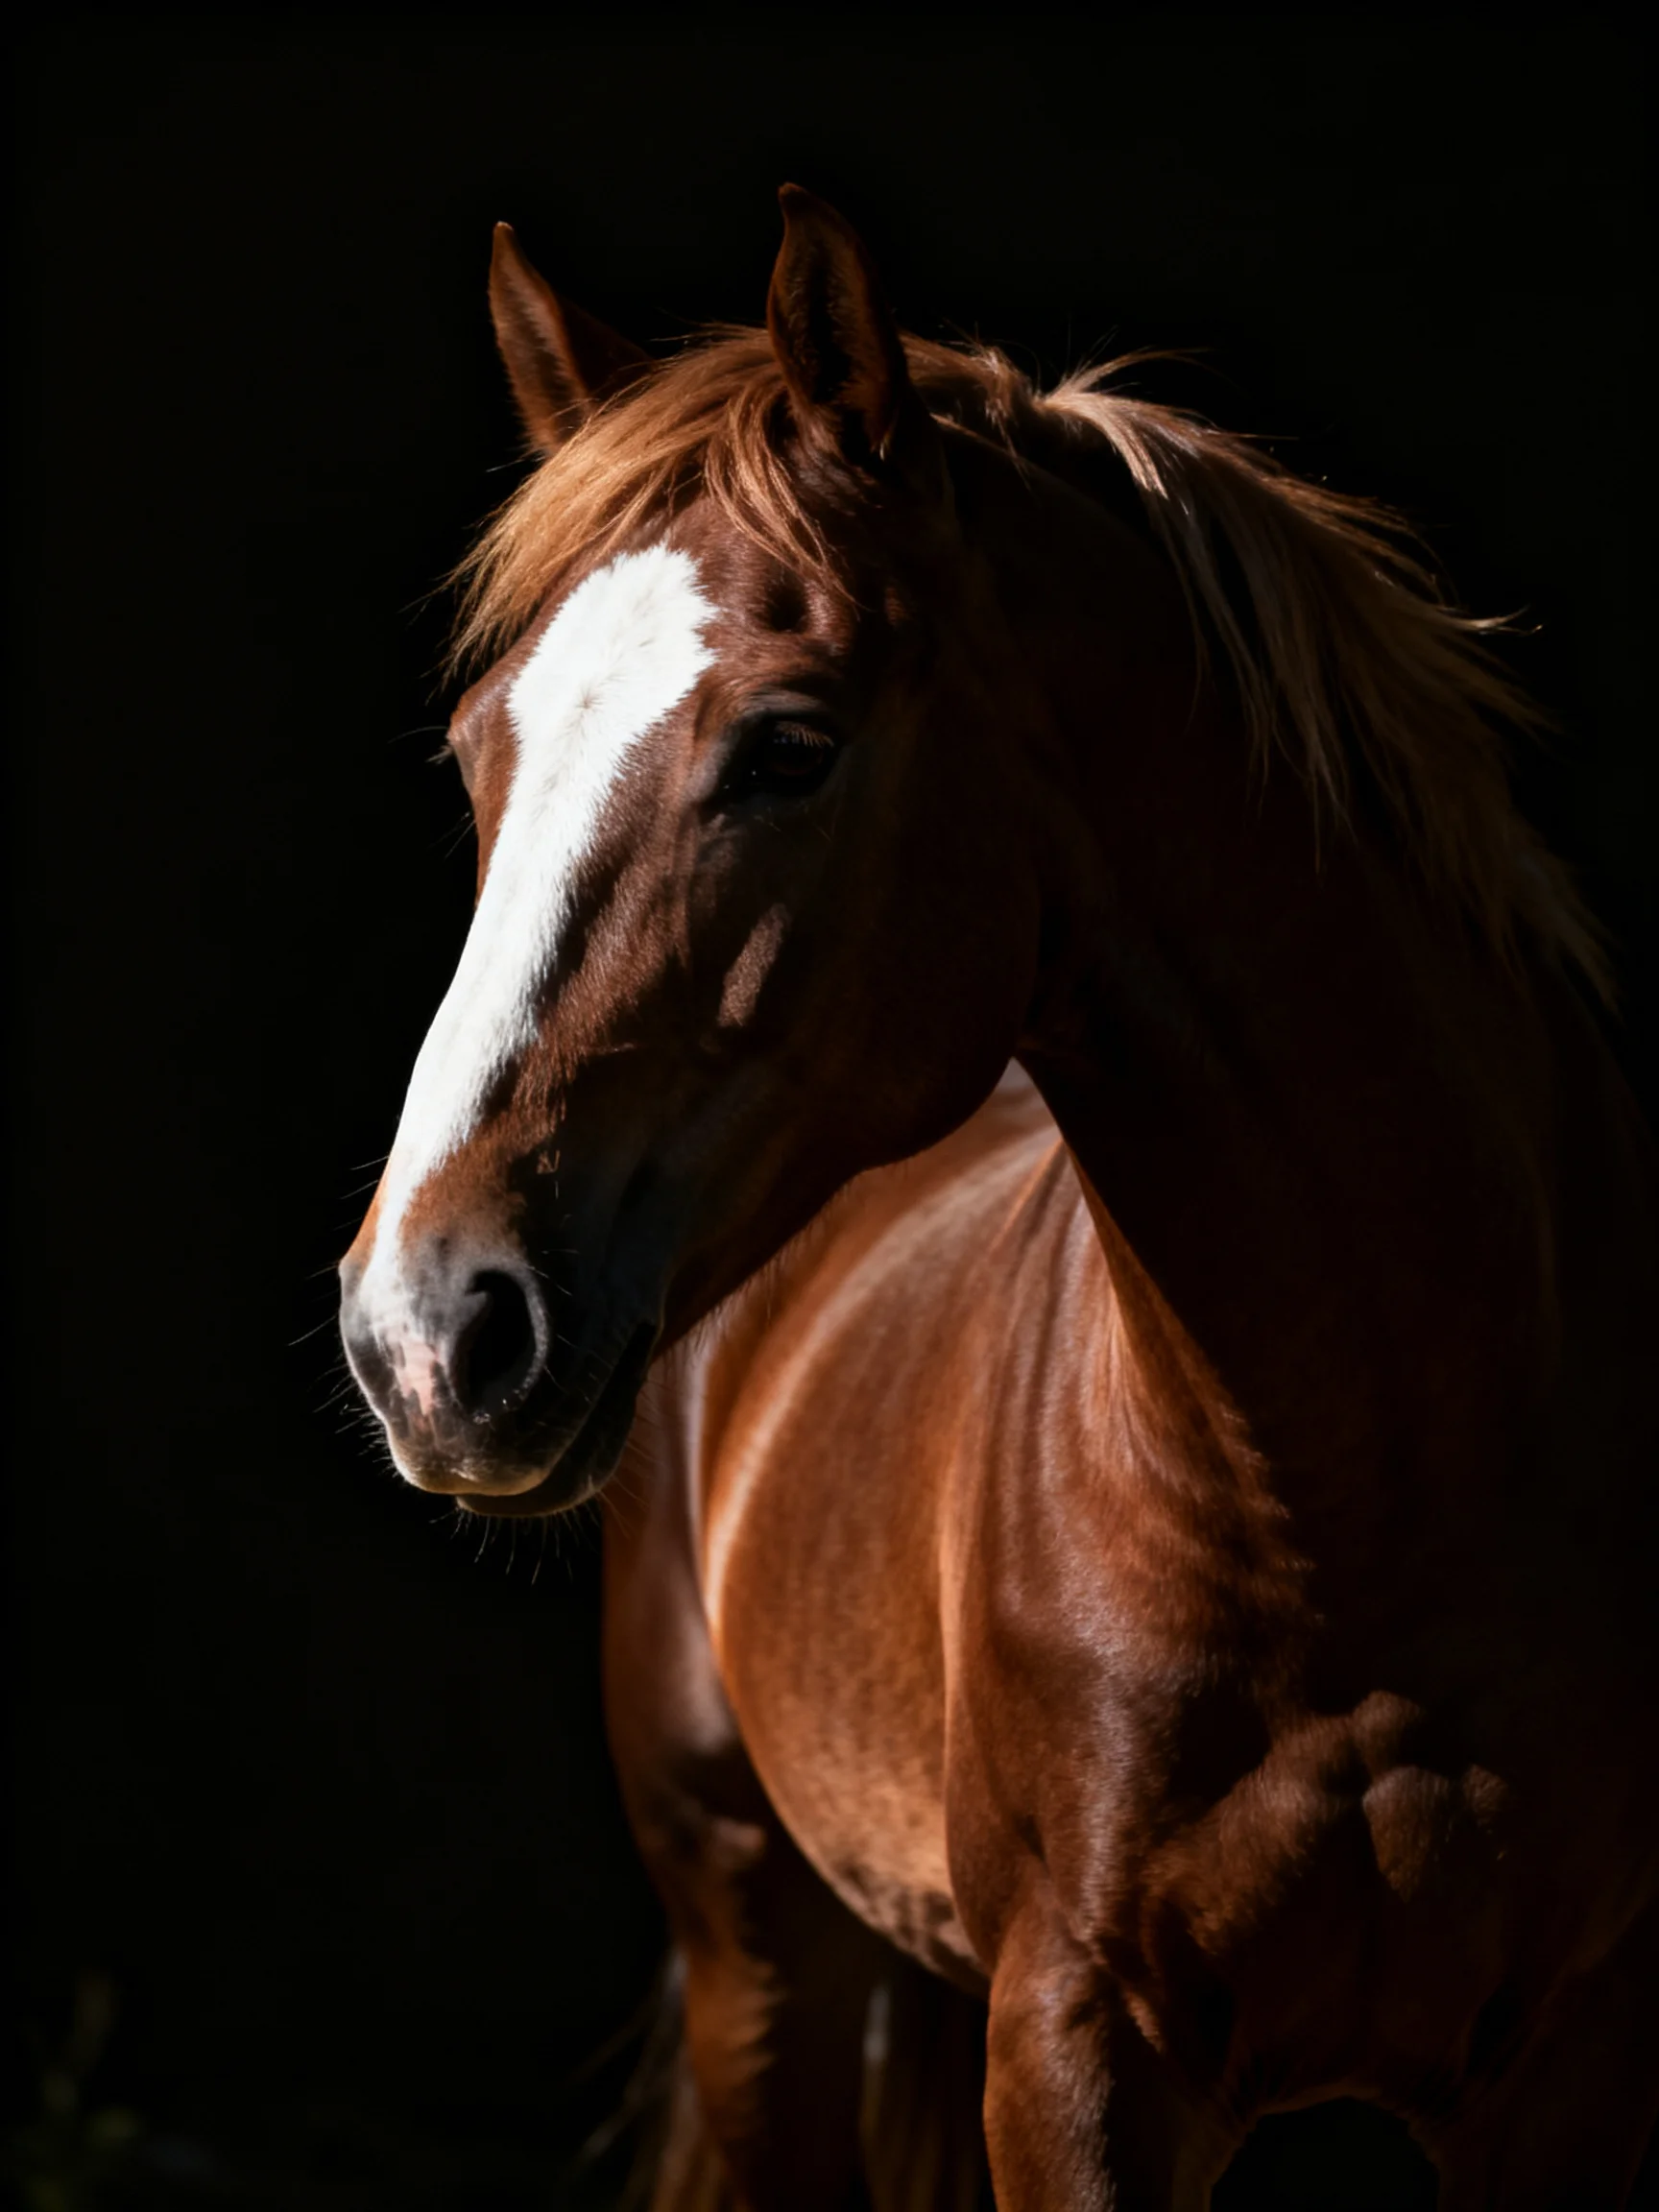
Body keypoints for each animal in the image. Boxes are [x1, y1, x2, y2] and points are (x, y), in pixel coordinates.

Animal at [338, 187, 1659, 2206]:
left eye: (791, 740)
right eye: (486, 742)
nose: (426, 1329)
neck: (1358, 1484)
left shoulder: (1569, 2070)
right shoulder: (1072, 2049)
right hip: (758, 1959)